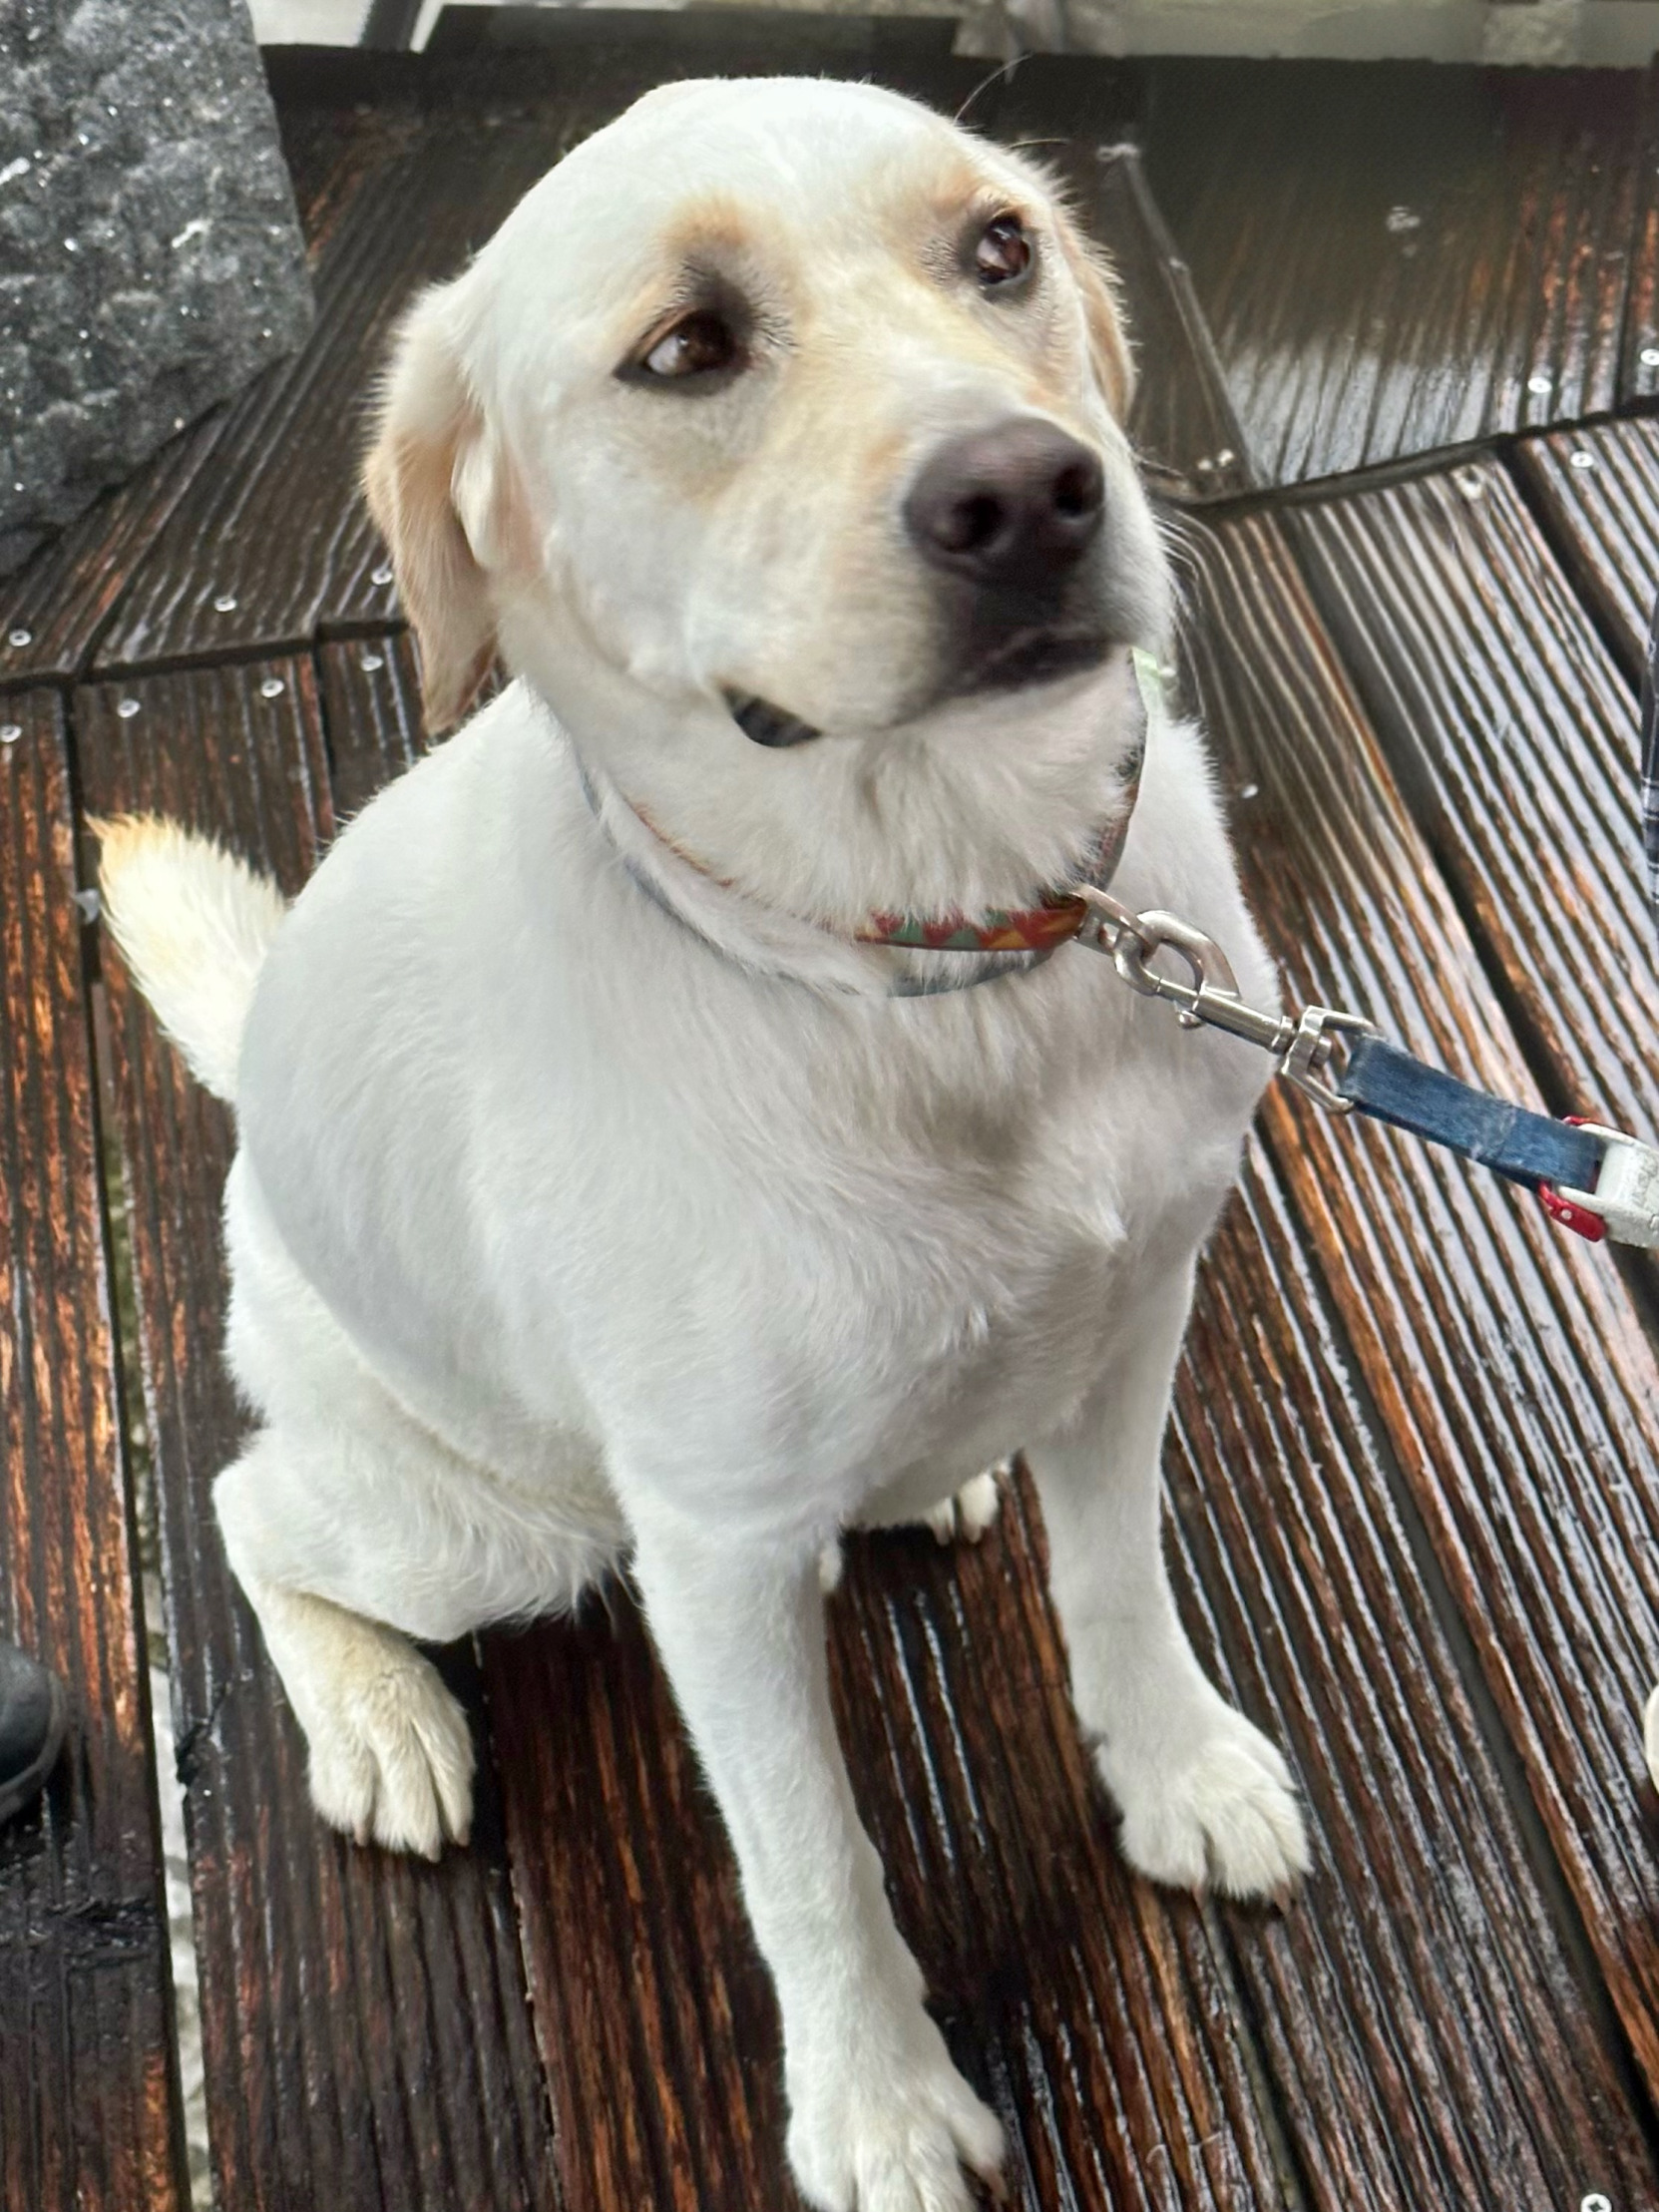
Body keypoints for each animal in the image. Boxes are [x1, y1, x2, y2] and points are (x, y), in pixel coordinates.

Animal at [104, 82, 1318, 2212]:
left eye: (996, 248)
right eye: (686, 350)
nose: (1030, 495)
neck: (944, 958)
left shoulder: (1136, 1316)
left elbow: (1118, 1587)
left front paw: (1176, 1772)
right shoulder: (717, 1547)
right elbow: (810, 1855)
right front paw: (876, 2103)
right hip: (500, 1523)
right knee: (257, 1510)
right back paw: (381, 1719)